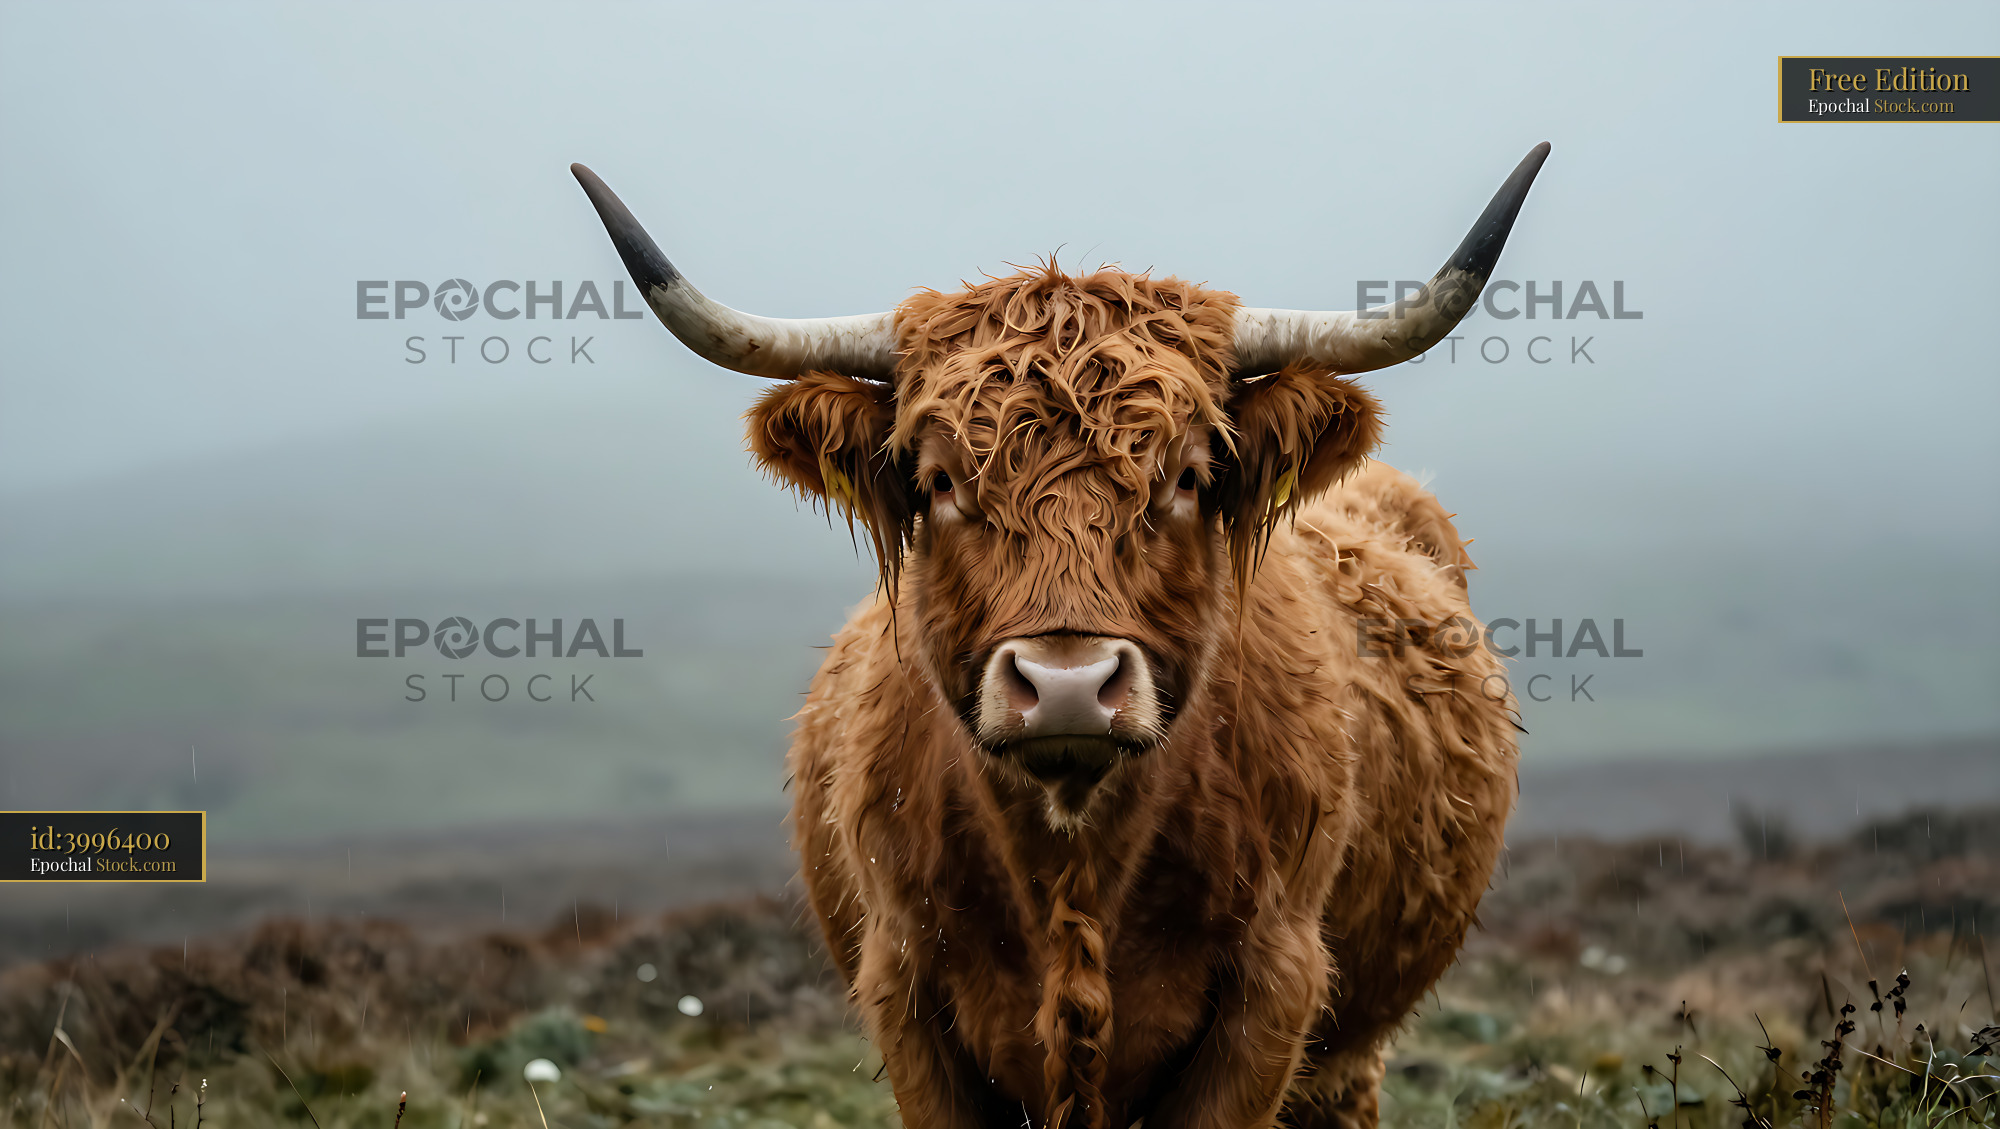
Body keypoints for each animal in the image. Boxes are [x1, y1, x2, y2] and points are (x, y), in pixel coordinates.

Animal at [572, 143, 1548, 1129]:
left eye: (1187, 477)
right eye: (940, 482)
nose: (1069, 685)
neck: (1073, 862)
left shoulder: (1276, 990)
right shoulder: (906, 995)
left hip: (1346, 1056)